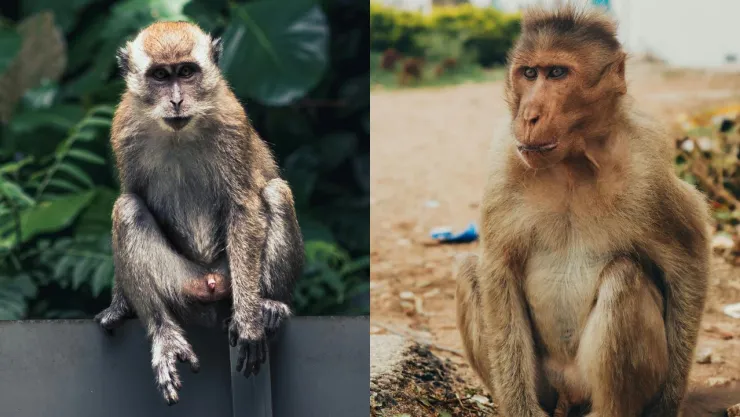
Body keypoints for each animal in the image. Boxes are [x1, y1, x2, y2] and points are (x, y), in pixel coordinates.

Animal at [92, 21, 304, 405]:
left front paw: (249, 320)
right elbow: (130, 195)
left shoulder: (232, 122)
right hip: (182, 284)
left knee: (276, 193)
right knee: (128, 210)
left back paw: (269, 305)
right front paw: (119, 304)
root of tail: (210, 282)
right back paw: (163, 333)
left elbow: (244, 207)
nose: (176, 100)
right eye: (161, 75)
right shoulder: (124, 129)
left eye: (187, 72)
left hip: (228, 277)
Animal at [455, 6, 740, 417]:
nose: (529, 116)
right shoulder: (505, 159)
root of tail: (569, 393)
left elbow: (689, 266)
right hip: (546, 382)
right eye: (529, 73)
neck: (575, 162)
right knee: (470, 271)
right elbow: (498, 271)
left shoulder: (647, 168)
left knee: (623, 278)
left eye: (557, 73)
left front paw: (667, 405)